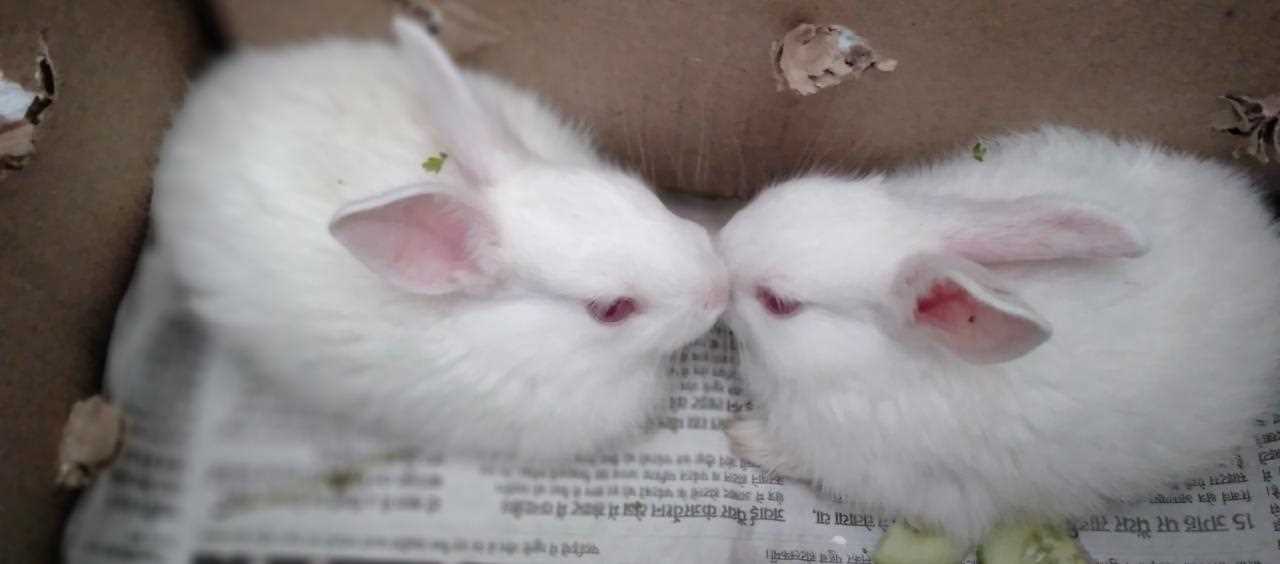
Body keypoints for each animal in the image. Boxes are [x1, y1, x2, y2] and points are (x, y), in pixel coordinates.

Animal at [717, 126, 1280, 544]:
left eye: (779, 304)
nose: (719, 244)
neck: (865, 361)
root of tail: (1258, 230)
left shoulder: (874, 466)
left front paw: (743, 436)